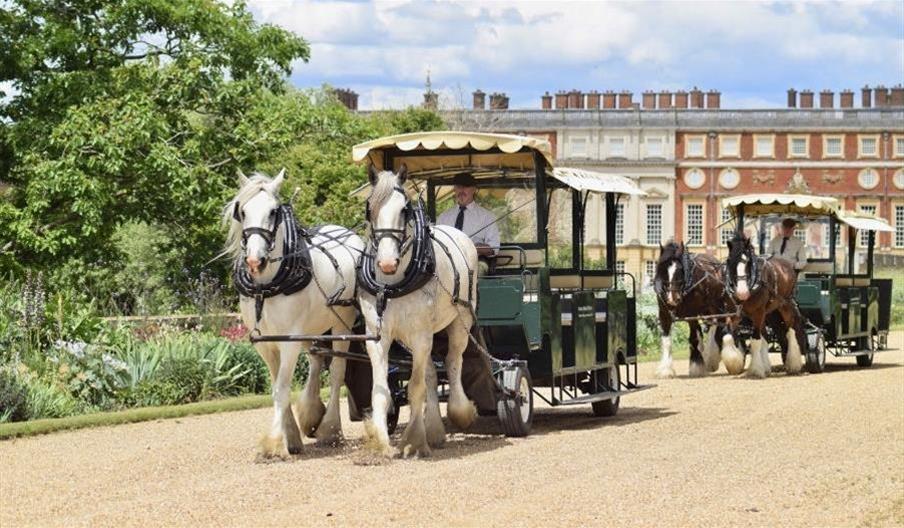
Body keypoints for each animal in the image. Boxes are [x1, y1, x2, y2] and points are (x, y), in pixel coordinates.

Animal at [222, 171, 364, 456]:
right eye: (242, 211)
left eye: (273, 211)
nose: (255, 261)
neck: (266, 287)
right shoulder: (265, 343)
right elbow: (277, 386)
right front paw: (290, 436)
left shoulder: (289, 340)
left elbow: (282, 387)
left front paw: (274, 442)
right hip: (311, 330)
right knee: (316, 361)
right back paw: (311, 415)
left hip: (341, 325)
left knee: (337, 371)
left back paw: (331, 429)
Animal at [360, 164, 480, 458]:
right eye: (369, 207)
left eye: (405, 209)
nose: (387, 263)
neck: (391, 284)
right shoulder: (378, 337)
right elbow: (382, 391)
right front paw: (380, 440)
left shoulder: (420, 335)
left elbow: (415, 389)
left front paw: (413, 440)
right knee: (431, 374)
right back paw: (435, 430)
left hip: (459, 322)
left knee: (452, 361)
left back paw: (460, 411)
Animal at [652, 241, 744, 378]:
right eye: (662, 270)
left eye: (680, 270)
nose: (672, 298)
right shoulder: (664, 315)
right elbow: (667, 341)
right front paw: (666, 370)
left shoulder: (692, 314)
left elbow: (694, 338)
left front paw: (696, 366)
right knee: (711, 328)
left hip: (718, 307)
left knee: (720, 329)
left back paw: (721, 359)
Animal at [728, 233, 804, 378]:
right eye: (731, 262)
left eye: (748, 263)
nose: (742, 293)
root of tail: (787, 264)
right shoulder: (735, 313)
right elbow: (730, 336)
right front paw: (734, 363)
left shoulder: (758, 312)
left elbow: (755, 340)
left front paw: (756, 370)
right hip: (767, 314)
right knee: (766, 337)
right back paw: (767, 367)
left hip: (785, 306)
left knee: (791, 330)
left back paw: (793, 364)